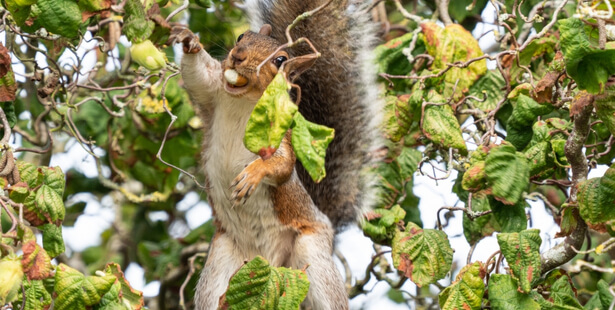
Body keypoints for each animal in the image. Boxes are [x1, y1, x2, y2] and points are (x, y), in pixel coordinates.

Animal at [173, 0, 382, 308]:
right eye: (241, 37)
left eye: (281, 60)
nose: (237, 56)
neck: (243, 101)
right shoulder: (212, 93)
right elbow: (197, 76)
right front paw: (189, 42)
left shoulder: (280, 135)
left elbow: (283, 165)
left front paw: (252, 175)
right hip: (222, 259)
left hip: (312, 252)